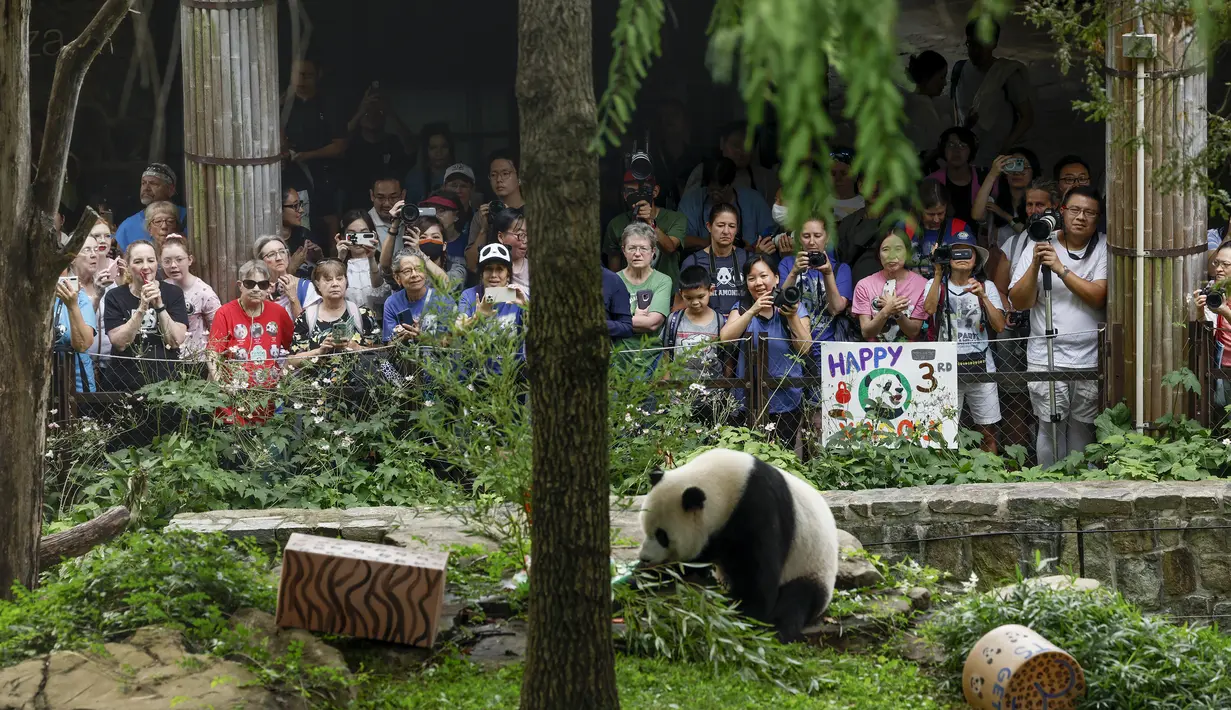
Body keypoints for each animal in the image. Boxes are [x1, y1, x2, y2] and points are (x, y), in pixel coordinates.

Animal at [637, 447, 840, 642]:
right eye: (646, 529)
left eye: (662, 536)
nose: (644, 558)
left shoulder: (759, 510)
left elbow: (759, 576)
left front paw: (745, 613)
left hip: (812, 566)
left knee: (797, 599)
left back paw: (779, 629)